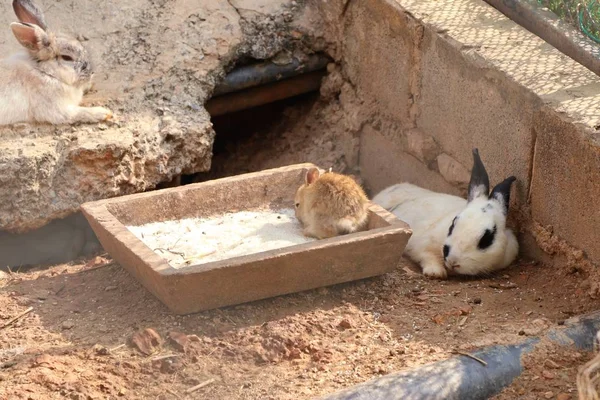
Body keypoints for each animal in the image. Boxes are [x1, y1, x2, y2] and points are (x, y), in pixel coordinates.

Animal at [372, 149, 516, 278]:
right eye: (452, 225)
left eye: (487, 239)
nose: (453, 262)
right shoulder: (420, 244)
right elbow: (427, 256)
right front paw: (435, 272)